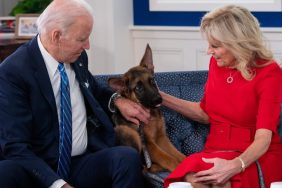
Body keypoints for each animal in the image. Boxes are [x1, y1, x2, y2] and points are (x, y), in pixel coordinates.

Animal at [108, 44, 185, 173]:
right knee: (141, 166)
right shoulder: (149, 144)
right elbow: (169, 159)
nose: (158, 100)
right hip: (127, 132)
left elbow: (179, 155)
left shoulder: (161, 138)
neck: (150, 113)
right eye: (138, 88)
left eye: (152, 80)